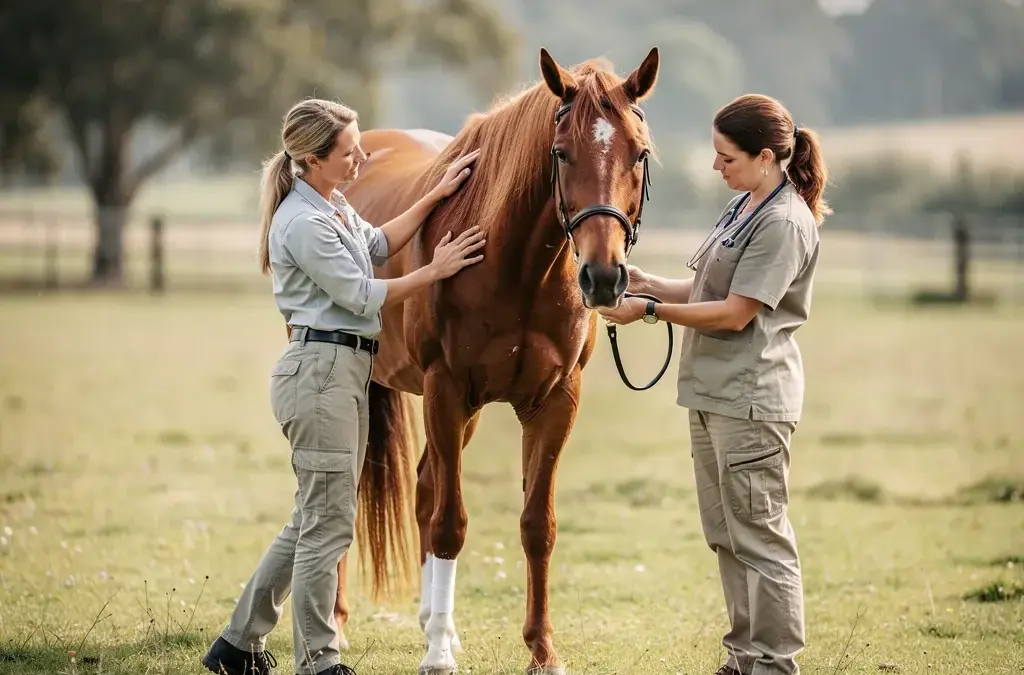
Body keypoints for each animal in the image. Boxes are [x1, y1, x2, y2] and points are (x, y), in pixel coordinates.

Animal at [334, 47, 660, 674]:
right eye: (562, 152)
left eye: (639, 153)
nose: (604, 277)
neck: (515, 269)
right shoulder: (445, 389)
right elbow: (451, 526)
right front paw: (438, 657)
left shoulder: (553, 402)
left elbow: (537, 526)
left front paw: (542, 650)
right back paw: (338, 624)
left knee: (425, 487)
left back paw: (433, 621)